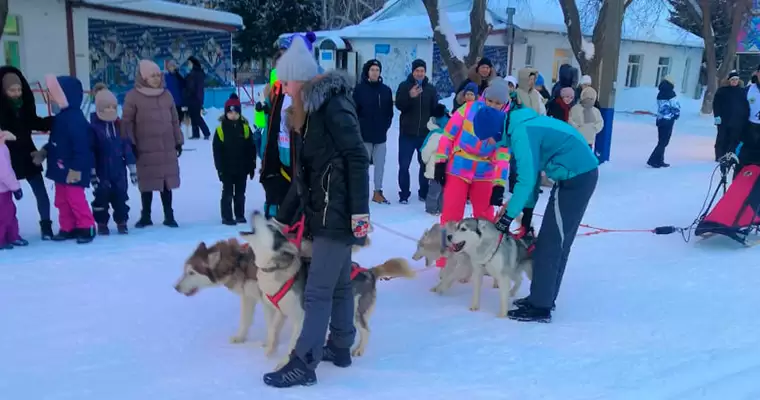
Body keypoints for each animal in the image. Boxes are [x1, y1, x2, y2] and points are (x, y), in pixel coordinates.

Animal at [242, 212, 416, 362]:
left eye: (270, 227)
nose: (256, 211)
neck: (275, 269)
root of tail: (368, 272)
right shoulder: (280, 312)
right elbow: (272, 330)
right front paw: (269, 350)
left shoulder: (300, 318)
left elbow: (293, 345)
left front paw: (282, 363)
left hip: (356, 312)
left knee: (366, 331)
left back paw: (359, 350)